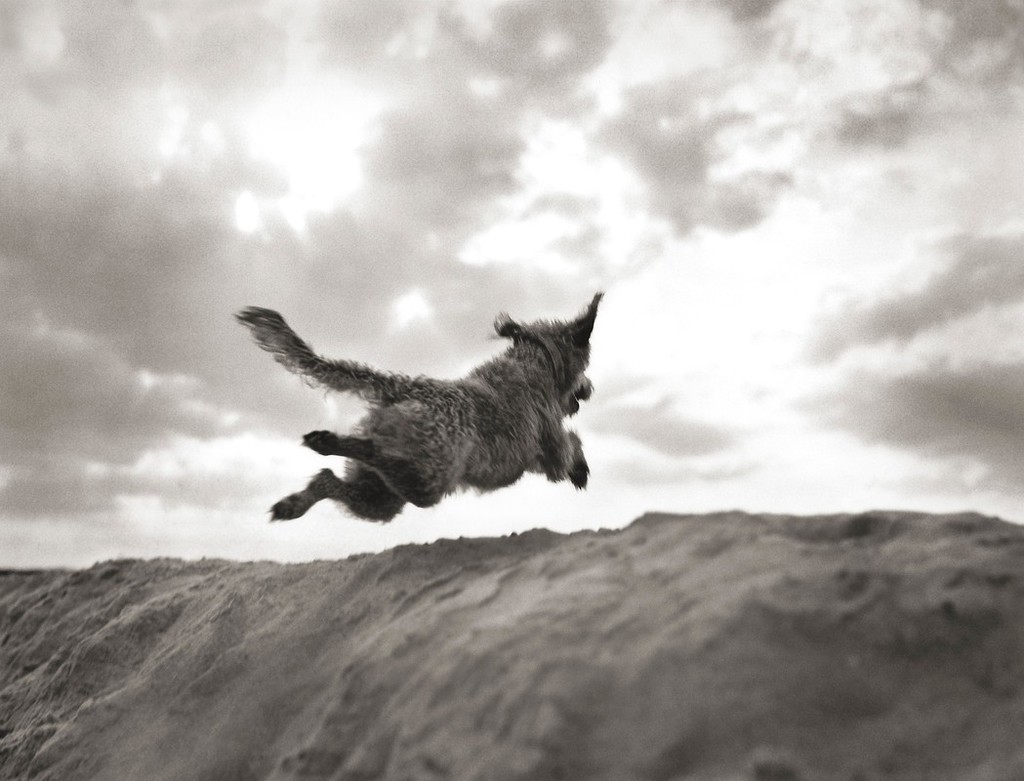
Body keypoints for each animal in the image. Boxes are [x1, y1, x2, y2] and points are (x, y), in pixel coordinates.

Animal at [235, 293, 602, 522]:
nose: (589, 389)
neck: (533, 366)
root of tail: (401, 388)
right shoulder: (551, 445)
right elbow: (571, 443)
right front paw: (581, 468)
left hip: (381, 497)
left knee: (329, 479)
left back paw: (296, 500)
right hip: (428, 480)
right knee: (373, 453)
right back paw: (331, 442)